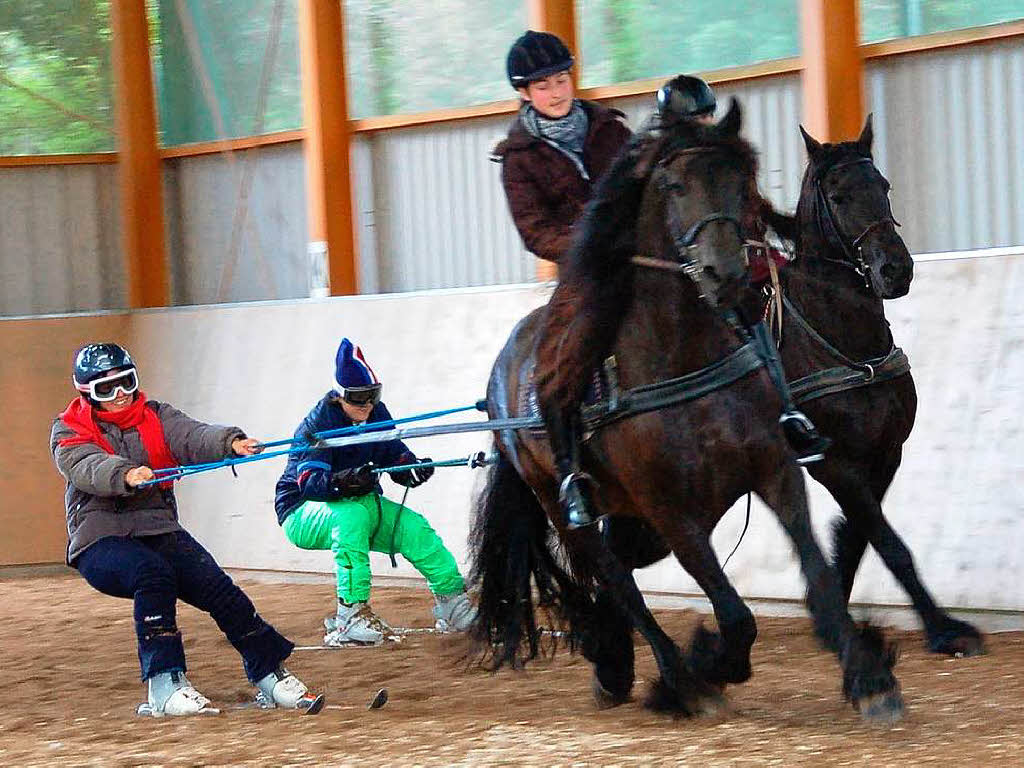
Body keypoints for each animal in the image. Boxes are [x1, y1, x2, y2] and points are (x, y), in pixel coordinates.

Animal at [471, 103, 905, 729]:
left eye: (741, 183)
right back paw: (671, 677)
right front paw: (706, 667)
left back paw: (617, 665)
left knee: (618, 574)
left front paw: (871, 678)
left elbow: (827, 572)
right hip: (564, 503)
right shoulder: (670, 509)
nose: (724, 272)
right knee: (614, 578)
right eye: (674, 186)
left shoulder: (781, 470)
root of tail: (505, 368)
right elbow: (736, 615)